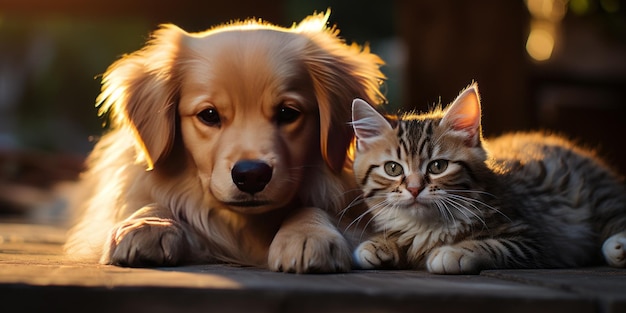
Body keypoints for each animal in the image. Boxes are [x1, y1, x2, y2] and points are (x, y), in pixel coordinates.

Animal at [64, 11, 386, 272]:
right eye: (209, 115)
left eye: (287, 113)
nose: (251, 175)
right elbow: (153, 200)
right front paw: (148, 223)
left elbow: (317, 209)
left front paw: (309, 233)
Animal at [348, 83, 624, 272]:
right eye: (393, 169)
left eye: (438, 166)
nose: (415, 189)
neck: (427, 226)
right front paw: (378, 245)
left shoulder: (531, 237)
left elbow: (493, 245)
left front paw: (453, 253)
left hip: (597, 194)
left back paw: (618, 247)